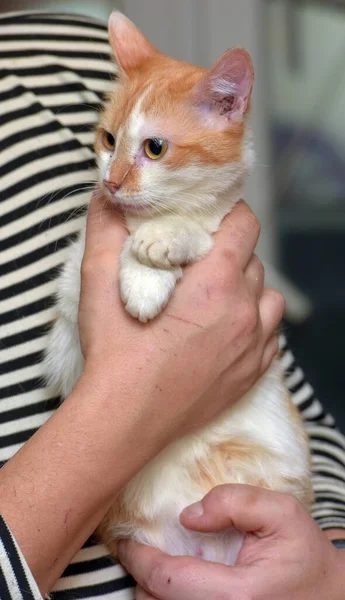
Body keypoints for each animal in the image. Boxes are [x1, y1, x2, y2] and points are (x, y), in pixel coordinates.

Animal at [43, 12, 312, 568]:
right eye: (108, 139)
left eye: (155, 147)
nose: (113, 182)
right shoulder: (66, 345)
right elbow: (72, 301)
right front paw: (139, 272)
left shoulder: (222, 221)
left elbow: (197, 226)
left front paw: (155, 251)